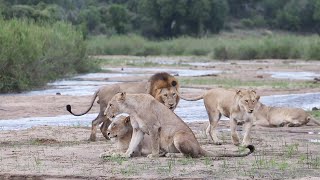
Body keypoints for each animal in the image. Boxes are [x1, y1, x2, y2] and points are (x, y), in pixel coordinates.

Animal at [104, 92, 254, 158]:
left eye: (110, 104)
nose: (105, 113)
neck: (132, 109)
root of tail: (199, 146)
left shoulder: (154, 127)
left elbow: (154, 144)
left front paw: (154, 155)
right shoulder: (138, 129)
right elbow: (132, 144)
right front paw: (125, 155)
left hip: (179, 136)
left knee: (190, 155)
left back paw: (170, 155)